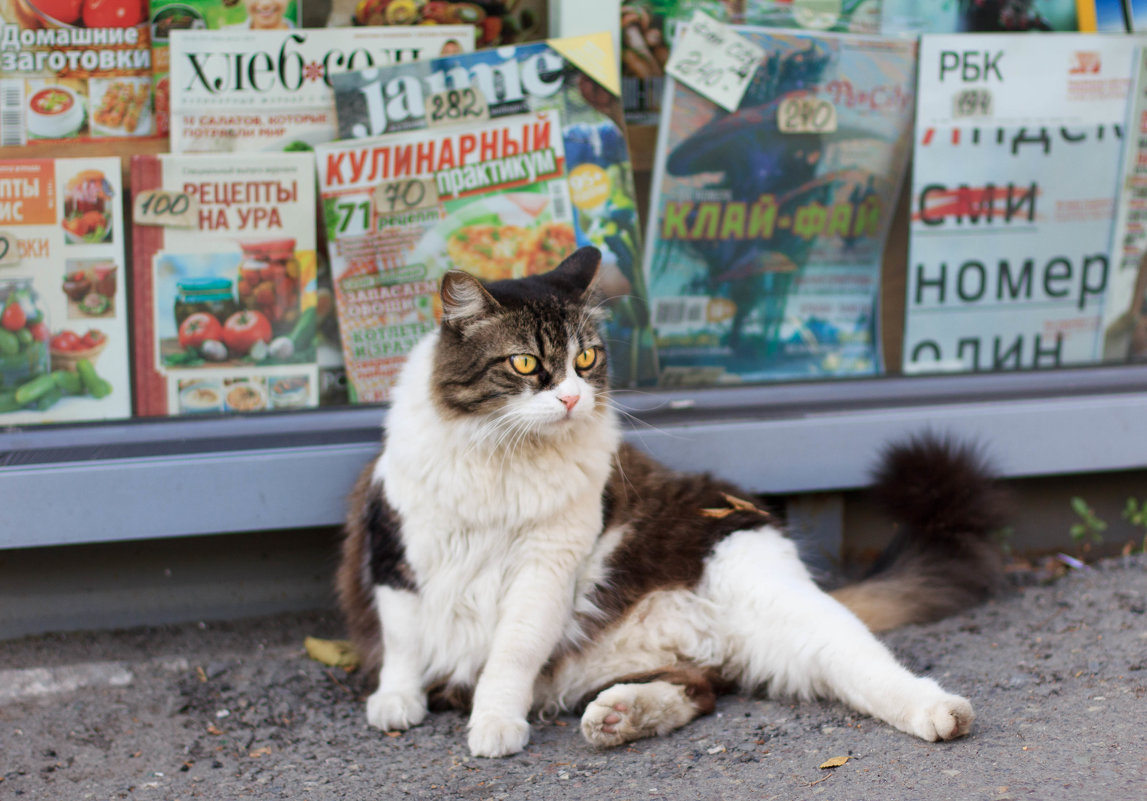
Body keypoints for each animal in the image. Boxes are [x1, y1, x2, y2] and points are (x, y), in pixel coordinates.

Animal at [334, 246, 1004, 757]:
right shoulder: (394, 548)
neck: (505, 461)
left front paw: (495, 724)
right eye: (525, 363)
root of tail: (707, 636)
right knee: (696, 690)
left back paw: (942, 712)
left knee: (865, 665)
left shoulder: (545, 565)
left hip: (773, 596)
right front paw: (396, 701)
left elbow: (511, 652)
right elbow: (404, 642)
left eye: (585, 359)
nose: (572, 398)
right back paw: (620, 716)